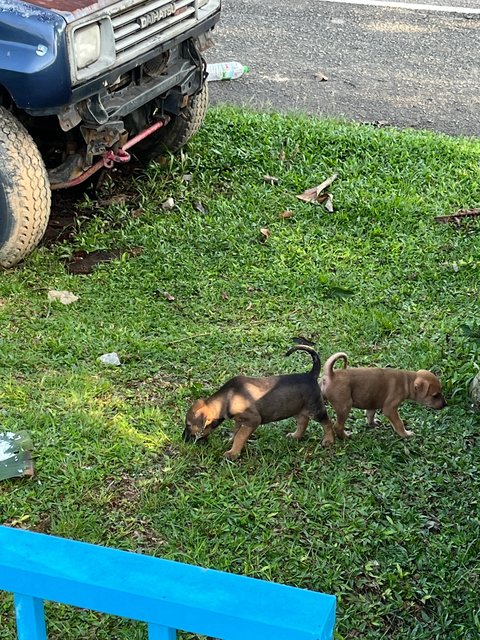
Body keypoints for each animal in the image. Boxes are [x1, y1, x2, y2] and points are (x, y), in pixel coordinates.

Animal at [183, 344, 334, 460]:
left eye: (189, 425)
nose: (183, 440)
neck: (226, 399)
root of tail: (311, 375)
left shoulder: (252, 420)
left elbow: (240, 437)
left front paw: (233, 453)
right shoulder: (240, 421)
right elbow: (236, 433)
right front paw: (231, 442)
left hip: (315, 409)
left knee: (327, 423)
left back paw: (328, 440)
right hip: (297, 408)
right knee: (303, 422)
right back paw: (295, 436)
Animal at [318, 352, 446, 442]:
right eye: (435, 395)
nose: (445, 404)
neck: (406, 381)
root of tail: (331, 374)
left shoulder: (372, 401)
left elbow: (370, 414)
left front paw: (372, 424)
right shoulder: (390, 409)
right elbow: (399, 423)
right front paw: (405, 434)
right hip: (344, 406)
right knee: (337, 426)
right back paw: (345, 437)